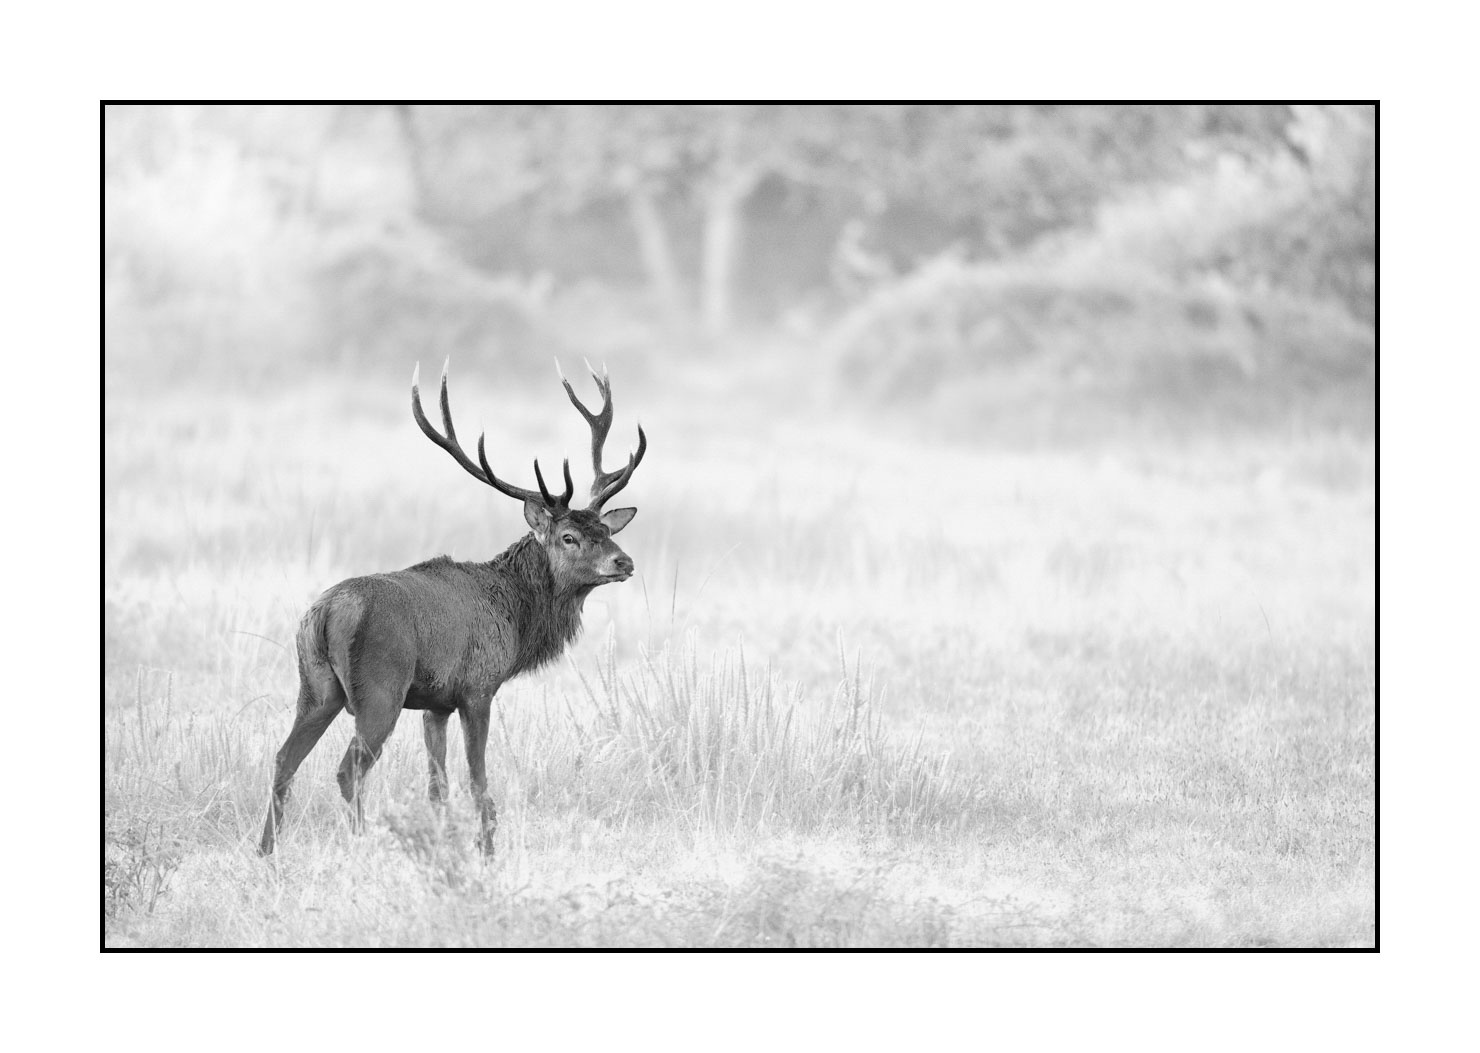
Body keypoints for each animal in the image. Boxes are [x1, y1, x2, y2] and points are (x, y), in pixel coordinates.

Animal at [259, 361, 646, 857]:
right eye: (568, 537)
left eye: (605, 529)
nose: (624, 562)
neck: (516, 620)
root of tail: (326, 614)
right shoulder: (477, 687)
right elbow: (478, 780)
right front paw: (486, 850)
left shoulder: (435, 704)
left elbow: (437, 784)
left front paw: (445, 845)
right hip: (379, 688)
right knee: (349, 769)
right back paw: (361, 843)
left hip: (315, 686)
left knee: (284, 757)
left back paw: (266, 852)